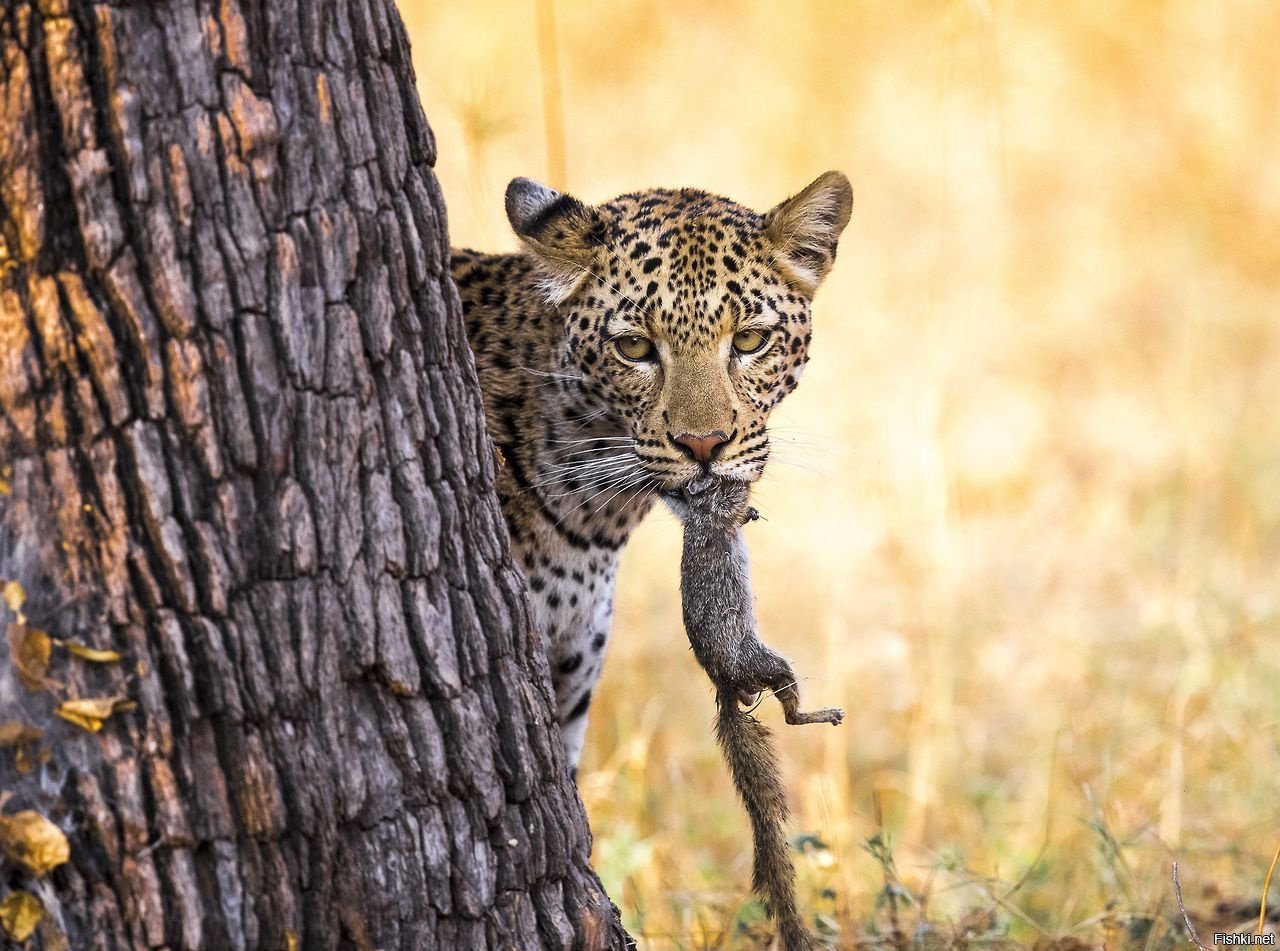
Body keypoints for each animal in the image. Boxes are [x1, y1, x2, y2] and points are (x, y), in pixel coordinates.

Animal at [665, 483, 844, 951]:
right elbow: (730, 506)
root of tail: (726, 686)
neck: (697, 513)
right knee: (790, 714)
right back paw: (817, 713)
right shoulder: (714, 511)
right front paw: (746, 496)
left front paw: (753, 511)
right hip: (767, 660)